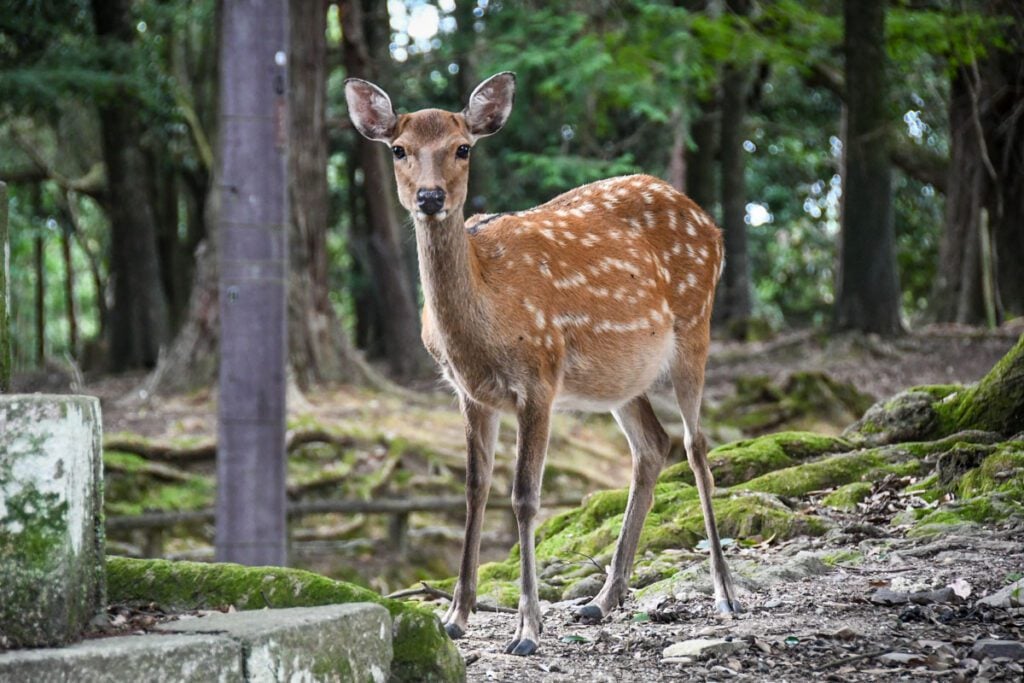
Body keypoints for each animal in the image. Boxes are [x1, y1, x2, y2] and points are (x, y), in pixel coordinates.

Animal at [348, 72, 741, 655]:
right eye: (399, 149)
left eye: (463, 148)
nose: (430, 197)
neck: (482, 324)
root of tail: (712, 227)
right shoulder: (469, 392)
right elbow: (474, 489)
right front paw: (455, 616)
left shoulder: (539, 376)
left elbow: (525, 497)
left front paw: (528, 629)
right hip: (618, 378)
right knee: (653, 445)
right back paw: (601, 600)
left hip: (696, 326)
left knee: (696, 447)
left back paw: (725, 594)